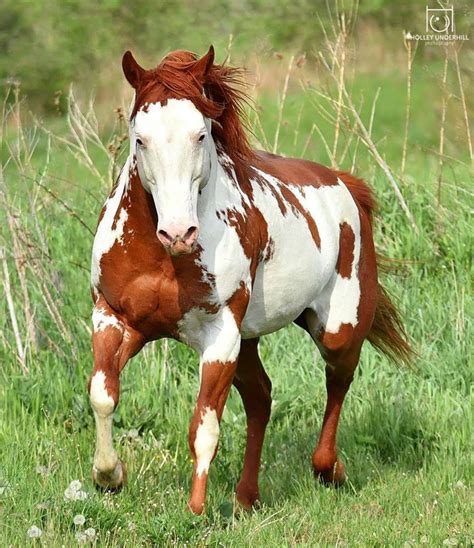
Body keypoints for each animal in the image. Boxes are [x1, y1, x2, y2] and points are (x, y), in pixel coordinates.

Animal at [90, 46, 412, 512]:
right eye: (140, 138)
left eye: (201, 135)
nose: (178, 233)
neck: (165, 259)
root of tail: (343, 184)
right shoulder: (115, 319)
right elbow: (102, 394)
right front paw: (109, 475)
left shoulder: (219, 336)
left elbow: (204, 427)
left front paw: (196, 511)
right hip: (247, 342)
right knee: (261, 397)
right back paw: (247, 497)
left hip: (336, 326)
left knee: (338, 379)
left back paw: (328, 469)